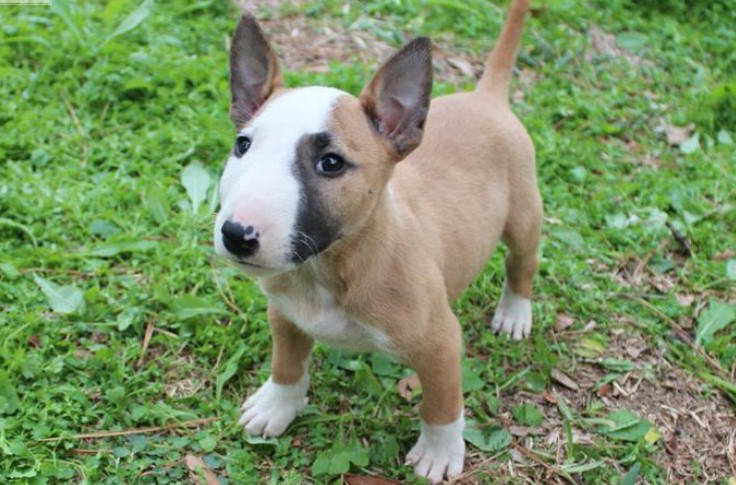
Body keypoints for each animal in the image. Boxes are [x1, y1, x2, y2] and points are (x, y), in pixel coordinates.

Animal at [213, 0, 540, 480]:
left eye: (331, 163)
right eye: (242, 145)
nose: (237, 234)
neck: (327, 269)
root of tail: (485, 97)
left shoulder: (441, 342)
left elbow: (442, 405)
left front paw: (439, 452)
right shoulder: (285, 314)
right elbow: (287, 364)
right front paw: (276, 406)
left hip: (524, 215)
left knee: (522, 263)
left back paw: (515, 313)